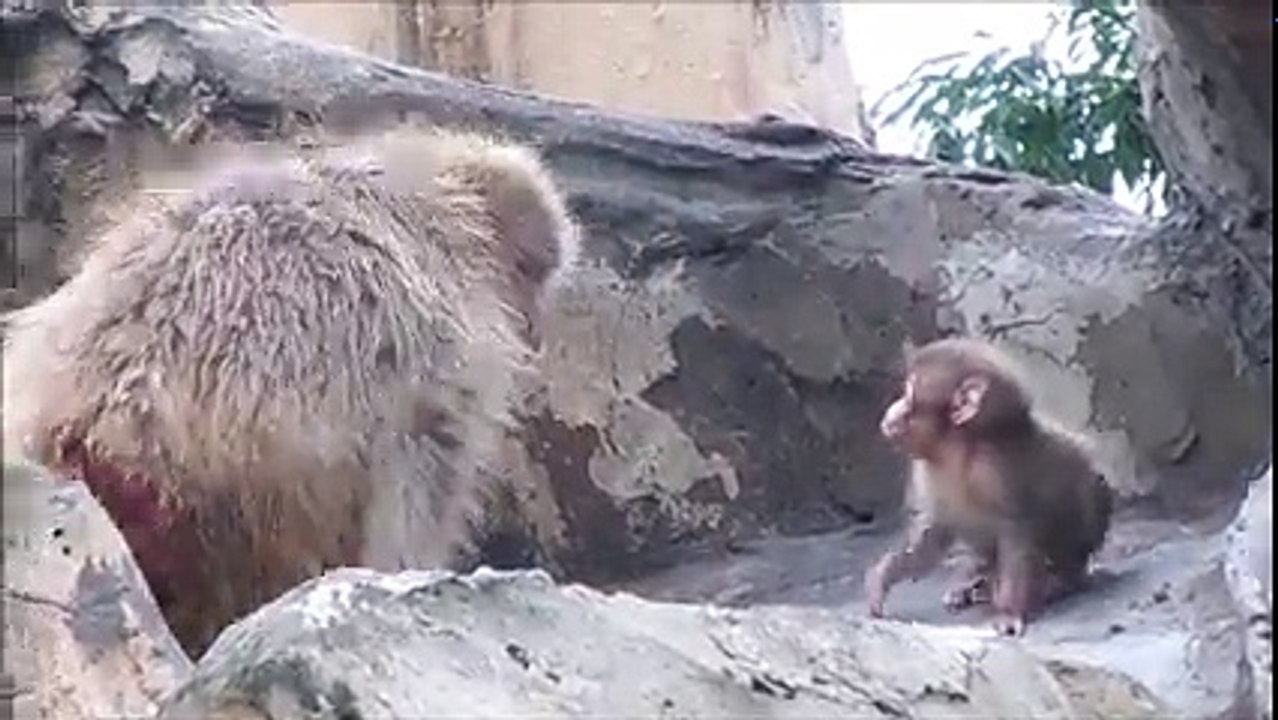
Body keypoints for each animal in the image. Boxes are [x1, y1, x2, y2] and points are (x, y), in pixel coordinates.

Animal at [864, 337, 1113, 636]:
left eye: (910, 396)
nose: (893, 410)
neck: (955, 452)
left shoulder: (995, 470)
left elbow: (1016, 532)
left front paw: (1009, 611)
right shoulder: (925, 471)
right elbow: (933, 534)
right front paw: (885, 575)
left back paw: (1061, 580)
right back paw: (978, 582)